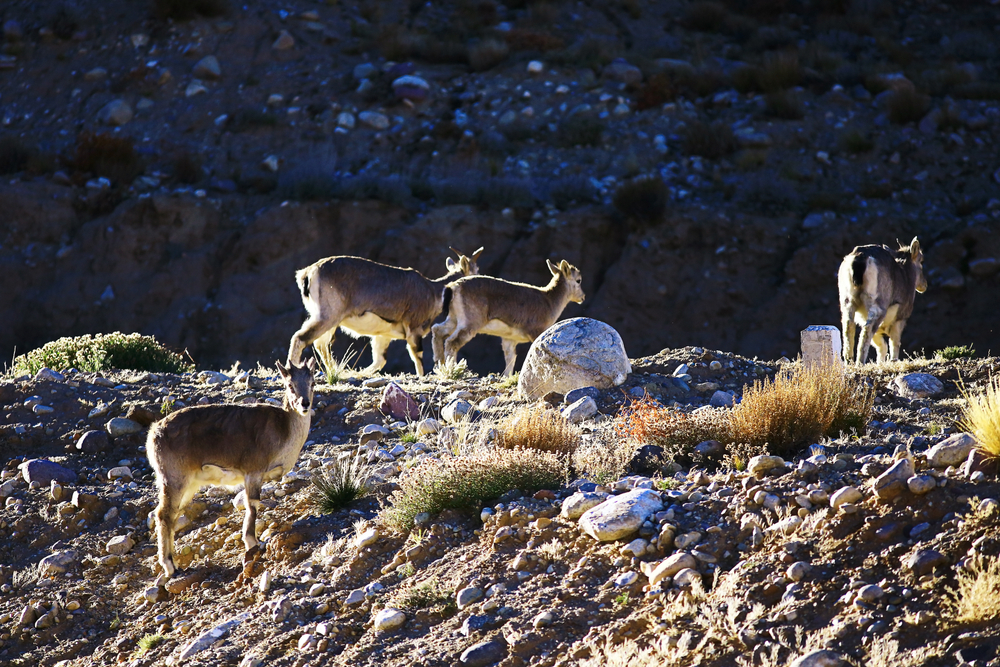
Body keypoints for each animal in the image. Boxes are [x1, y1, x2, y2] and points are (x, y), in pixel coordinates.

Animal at [146, 360, 312, 580]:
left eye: (311, 382)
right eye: (290, 385)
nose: (304, 404)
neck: (285, 429)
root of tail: (154, 434)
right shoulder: (253, 472)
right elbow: (252, 506)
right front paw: (253, 543)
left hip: (189, 485)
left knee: (172, 515)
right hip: (174, 479)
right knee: (163, 515)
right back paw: (170, 566)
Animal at [288, 248, 482, 378]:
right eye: (476, 270)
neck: (434, 292)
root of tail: (307, 273)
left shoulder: (383, 335)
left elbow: (379, 360)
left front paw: (359, 375)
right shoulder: (414, 329)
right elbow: (417, 358)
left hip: (329, 320)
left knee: (320, 344)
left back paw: (337, 371)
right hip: (327, 316)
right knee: (301, 338)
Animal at [432, 260, 584, 378]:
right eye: (578, 280)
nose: (582, 297)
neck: (549, 301)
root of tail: (453, 287)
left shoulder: (509, 339)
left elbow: (510, 358)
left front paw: (507, 377)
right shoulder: (536, 331)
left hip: (454, 319)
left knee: (437, 330)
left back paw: (439, 364)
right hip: (469, 323)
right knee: (452, 342)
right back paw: (451, 369)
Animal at [836, 237, 928, 366]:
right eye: (922, 261)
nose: (924, 285)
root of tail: (860, 258)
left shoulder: (874, 327)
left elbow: (881, 346)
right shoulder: (899, 319)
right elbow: (894, 342)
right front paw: (893, 361)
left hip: (848, 302)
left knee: (848, 326)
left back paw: (849, 362)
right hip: (877, 307)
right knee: (867, 329)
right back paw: (860, 362)